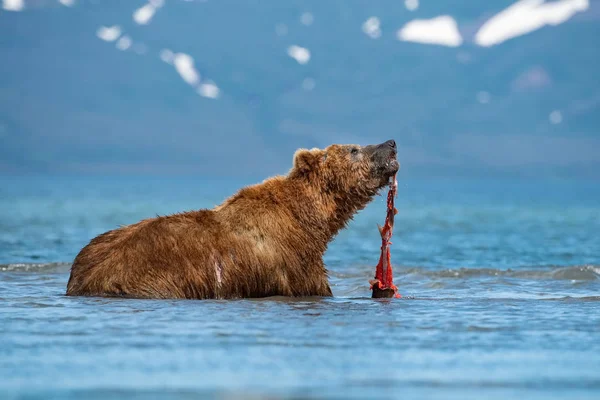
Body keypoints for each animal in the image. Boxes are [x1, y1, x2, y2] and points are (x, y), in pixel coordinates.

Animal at [65, 139, 398, 298]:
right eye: (354, 149)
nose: (391, 143)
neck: (307, 220)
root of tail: (82, 278)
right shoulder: (294, 261)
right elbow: (315, 287)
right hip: (153, 279)